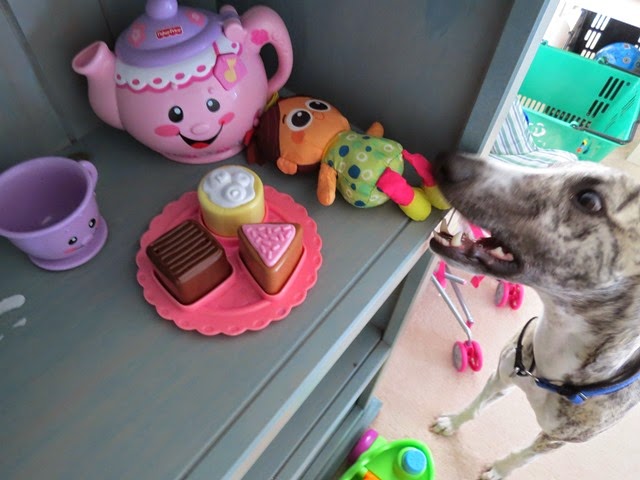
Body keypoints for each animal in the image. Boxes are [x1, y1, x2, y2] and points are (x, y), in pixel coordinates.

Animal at [427, 152, 640, 479]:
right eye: (552, 169)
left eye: (589, 200)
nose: (445, 160)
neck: (546, 368)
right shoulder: (501, 375)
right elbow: (476, 405)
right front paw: (453, 422)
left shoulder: (555, 439)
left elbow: (523, 458)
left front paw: (498, 470)